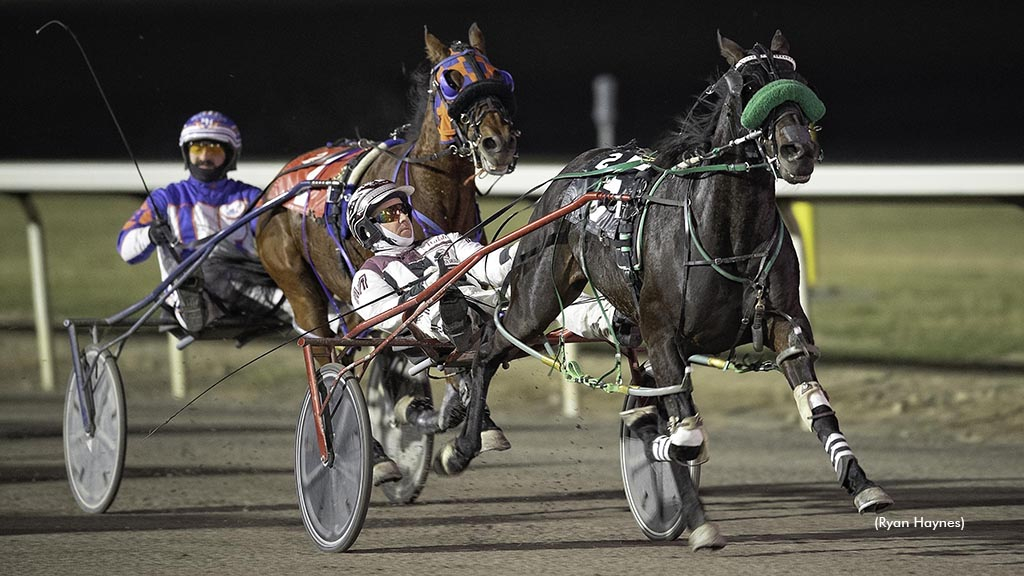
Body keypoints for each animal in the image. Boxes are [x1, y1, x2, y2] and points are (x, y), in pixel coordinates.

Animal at [252, 23, 516, 350]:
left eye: (498, 77)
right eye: (451, 82)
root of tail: (277, 185)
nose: (499, 143)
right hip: (300, 288)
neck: (439, 190)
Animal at [440, 30, 897, 545]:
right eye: (748, 89)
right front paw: (695, 518)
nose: (798, 149)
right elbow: (686, 434)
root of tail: (572, 171)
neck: (727, 238)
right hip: (537, 296)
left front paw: (862, 484)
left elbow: (814, 405)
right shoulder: (662, 334)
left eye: (797, 84)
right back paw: (464, 445)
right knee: (486, 350)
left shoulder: (783, 323)